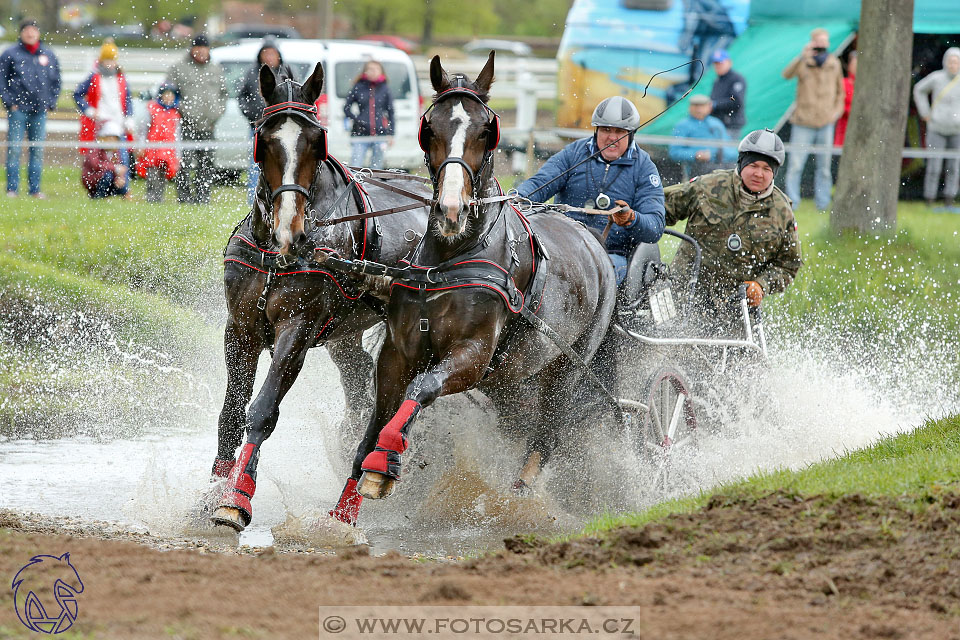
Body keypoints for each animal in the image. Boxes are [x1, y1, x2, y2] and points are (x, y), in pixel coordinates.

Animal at [214, 65, 432, 532]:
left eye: (318, 141)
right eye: (264, 137)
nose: (290, 228)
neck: (276, 253)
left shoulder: (297, 331)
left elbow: (262, 411)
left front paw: (236, 498)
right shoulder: (239, 328)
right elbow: (231, 414)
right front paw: (210, 492)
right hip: (345, 334)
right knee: (359, 382)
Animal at [328, 53, 616, 524]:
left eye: (486, 129)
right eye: (430, 128)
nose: (451, 209)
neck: (451, 257)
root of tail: (591, 235)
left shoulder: (472, 357)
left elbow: (421, 390)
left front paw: (386, 462)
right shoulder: (397, 353)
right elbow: (374, 424)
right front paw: (341, 516)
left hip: (567, 371)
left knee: (544, 436)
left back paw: (519, 499)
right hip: (512, 381)